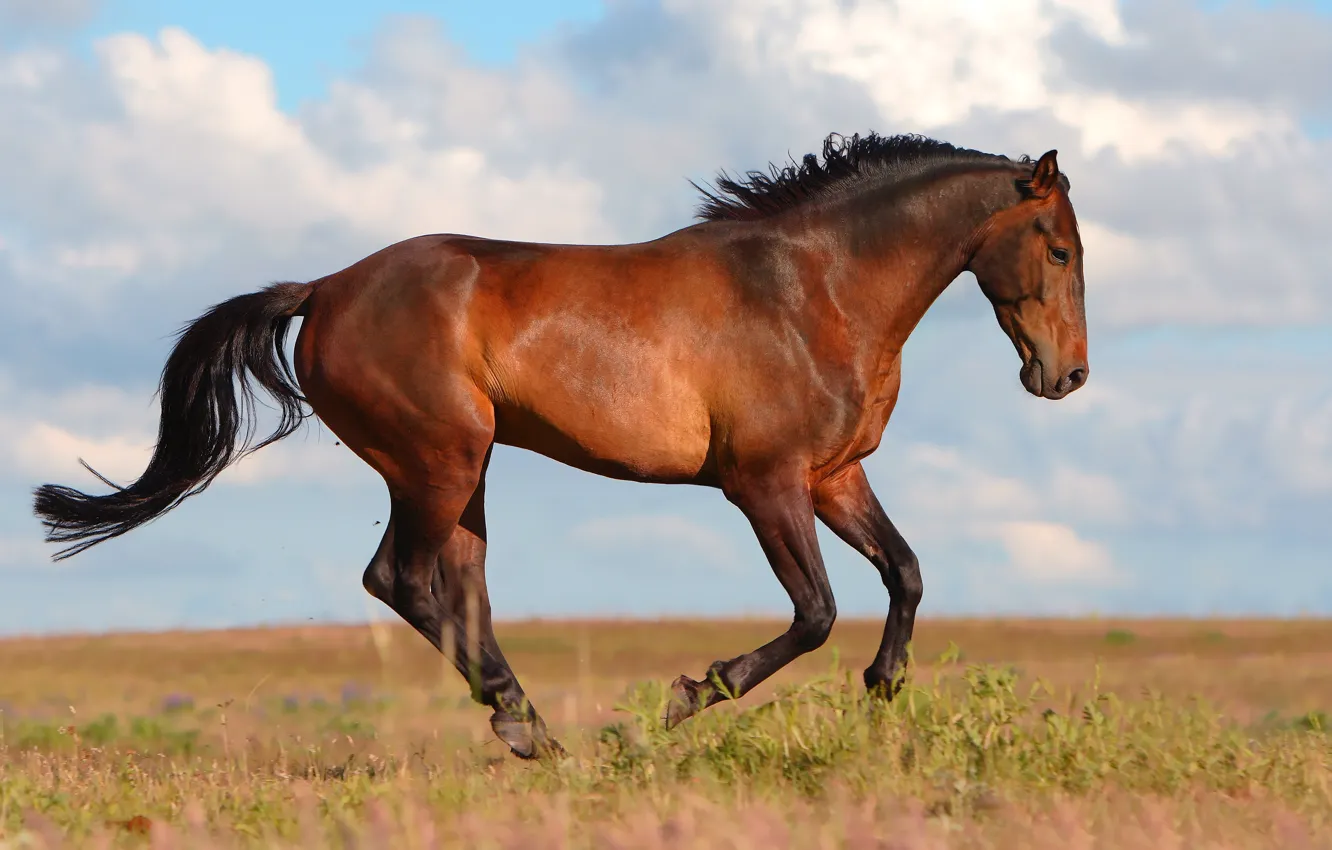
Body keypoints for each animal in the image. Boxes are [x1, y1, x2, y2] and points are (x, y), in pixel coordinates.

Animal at [33, 132, 1088, 760]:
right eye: (1060, 248)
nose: (1067, 377)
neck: (811, 291)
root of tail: (324, 289)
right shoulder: (764, 484)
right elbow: (817, 611)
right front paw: (686, 697)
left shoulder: (835, 476)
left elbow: (904, 573)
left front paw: (882, 694)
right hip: (440, 460)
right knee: (399, 580)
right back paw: (529, 727)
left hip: (466, 472)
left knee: (460, 589)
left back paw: (529, 727)